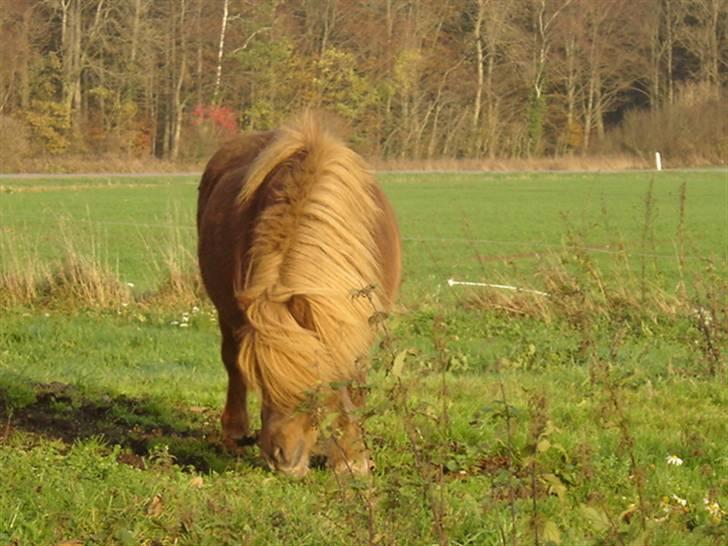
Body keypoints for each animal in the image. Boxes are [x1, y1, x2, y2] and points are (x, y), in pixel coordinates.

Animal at [196, 115, 400, 476]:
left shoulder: (359, 326)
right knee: (231, 361)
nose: (282, 459)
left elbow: (353, 384)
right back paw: (234, 431)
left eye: (315, 389)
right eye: (262, 381)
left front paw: (351, 458)